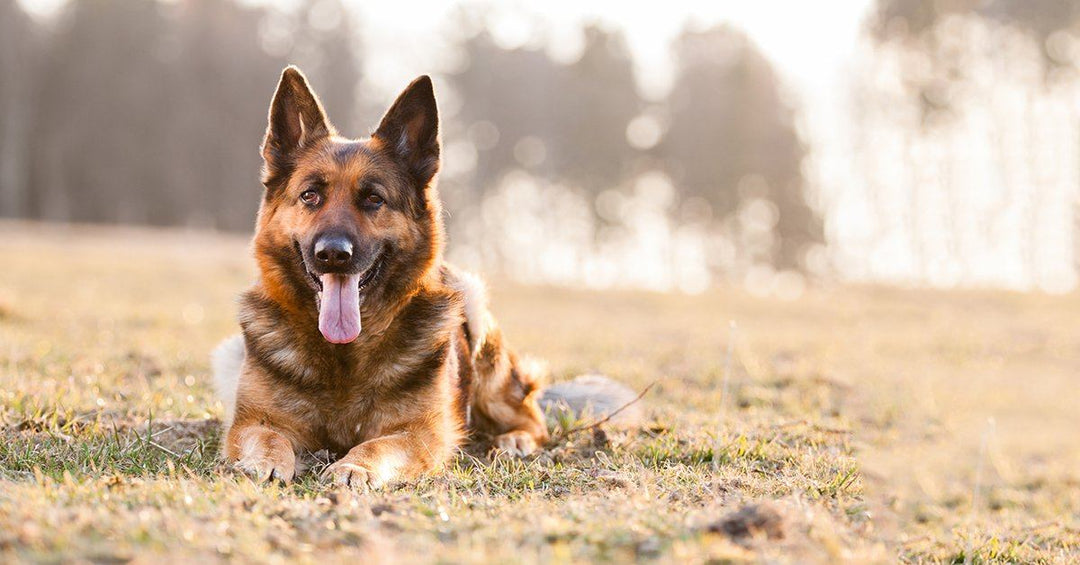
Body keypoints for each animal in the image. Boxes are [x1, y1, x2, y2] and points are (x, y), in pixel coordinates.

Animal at [209, 67, 630, 490]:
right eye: (310, 195)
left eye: (374, 199)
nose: (333, 254)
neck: (344, 355)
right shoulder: (250, 422)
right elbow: (268, 436)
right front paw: (264, 462)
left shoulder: (420, 433)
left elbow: (376, 446)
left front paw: (354, 467)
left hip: (480, 327)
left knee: (532, 419)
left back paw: (514, 441)